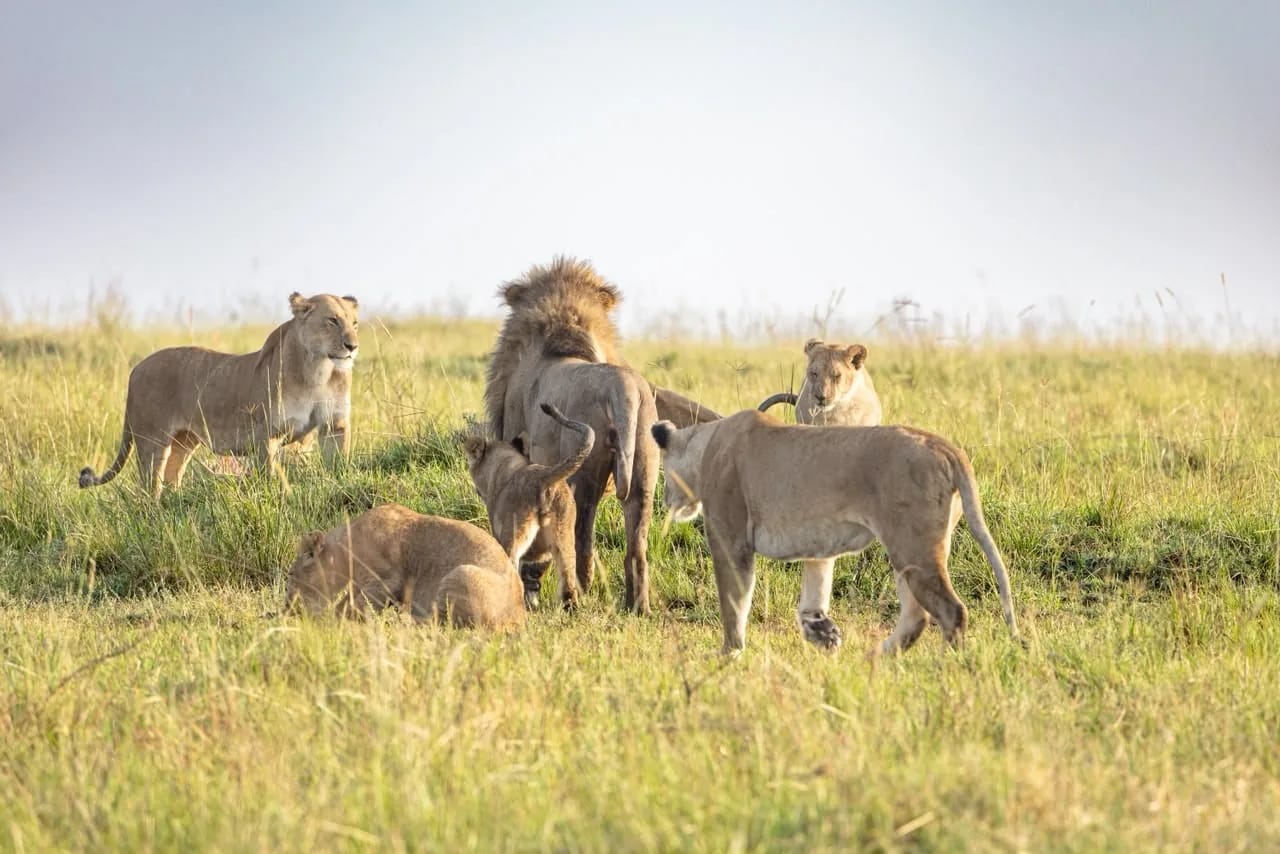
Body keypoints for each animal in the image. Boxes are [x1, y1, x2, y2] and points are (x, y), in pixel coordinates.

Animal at [78, 292, 359, 498]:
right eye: (332, 320)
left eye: (354, 323)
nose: (353, 346)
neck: (318, 371)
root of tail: (135, 370)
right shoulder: (266, 434)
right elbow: (268, 475)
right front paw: (274, 496)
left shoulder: (335, 424)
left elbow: (338, 462)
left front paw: (340, 485)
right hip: (152, 442)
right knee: (150, 487)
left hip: (183, 441)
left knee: (172, 478)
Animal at [284, 503, 524, 629]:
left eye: (291, 575)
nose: (288, 610)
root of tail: (518, 615)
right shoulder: (359, 584)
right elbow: (347, 602)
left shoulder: (388, 581)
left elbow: (354, 607)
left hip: (459, 574)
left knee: (441, 624)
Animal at [465, 402, 595, 610]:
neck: (504, 466)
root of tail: (544, 478)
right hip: (564, 536)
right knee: (568, 582)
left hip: (514, 535)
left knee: (511, 567)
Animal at [484, 256, 662, 613]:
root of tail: (624, 389)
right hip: (643, 468)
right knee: (636, 545)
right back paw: (636, 607)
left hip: (585, 470)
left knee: (581, 534)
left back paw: (582, 589)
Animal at [650, 410, 1019, 658]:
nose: (666, 499)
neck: (705, 444)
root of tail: (945, 446)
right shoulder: (819, 544)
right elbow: (815, 592)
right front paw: (822, 633)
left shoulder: (730, 540)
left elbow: (733, 602)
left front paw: (729, 653)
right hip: (910, 554)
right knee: (917, 616)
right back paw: (874, 659)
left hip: (913, 547)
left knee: (951, 611)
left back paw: (943, 667)